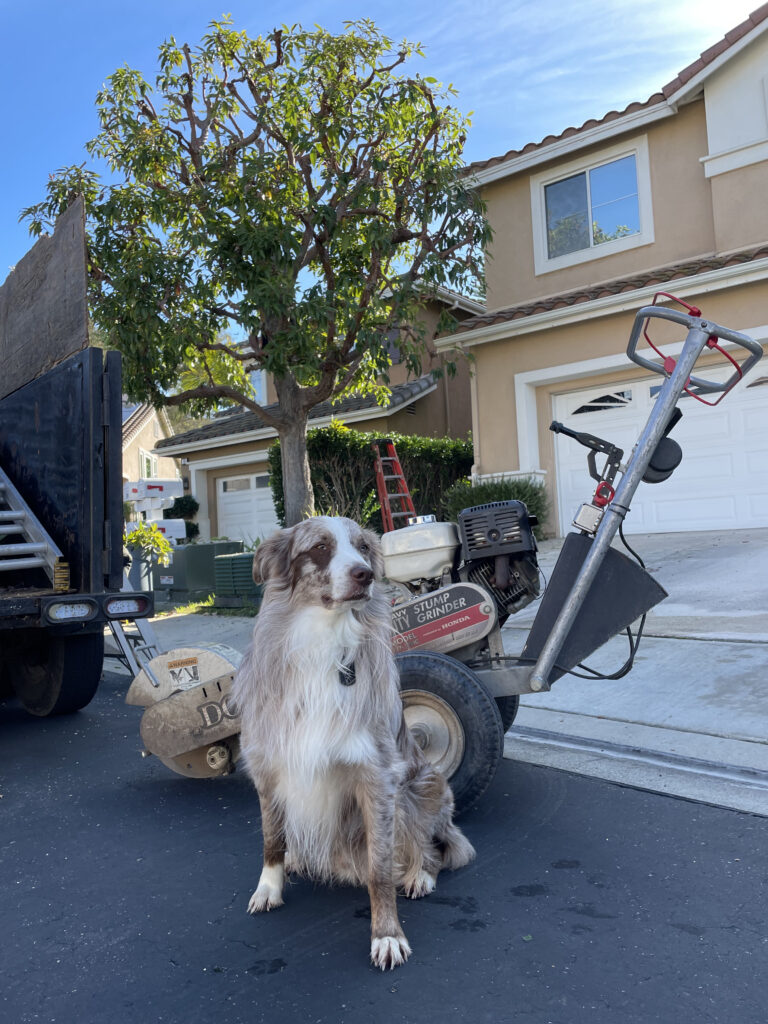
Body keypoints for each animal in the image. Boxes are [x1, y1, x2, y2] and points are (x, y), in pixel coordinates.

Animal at [231, 516, 479, 970]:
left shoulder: (377, 776)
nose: (364, 574)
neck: (322, 642)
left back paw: (420, 874)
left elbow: (381, 868)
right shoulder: (267, 765)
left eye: (363, 548)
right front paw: (270, 887)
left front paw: (387, 935)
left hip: (422, 787)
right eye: (320, 548)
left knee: (432, 845)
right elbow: (272, 839)